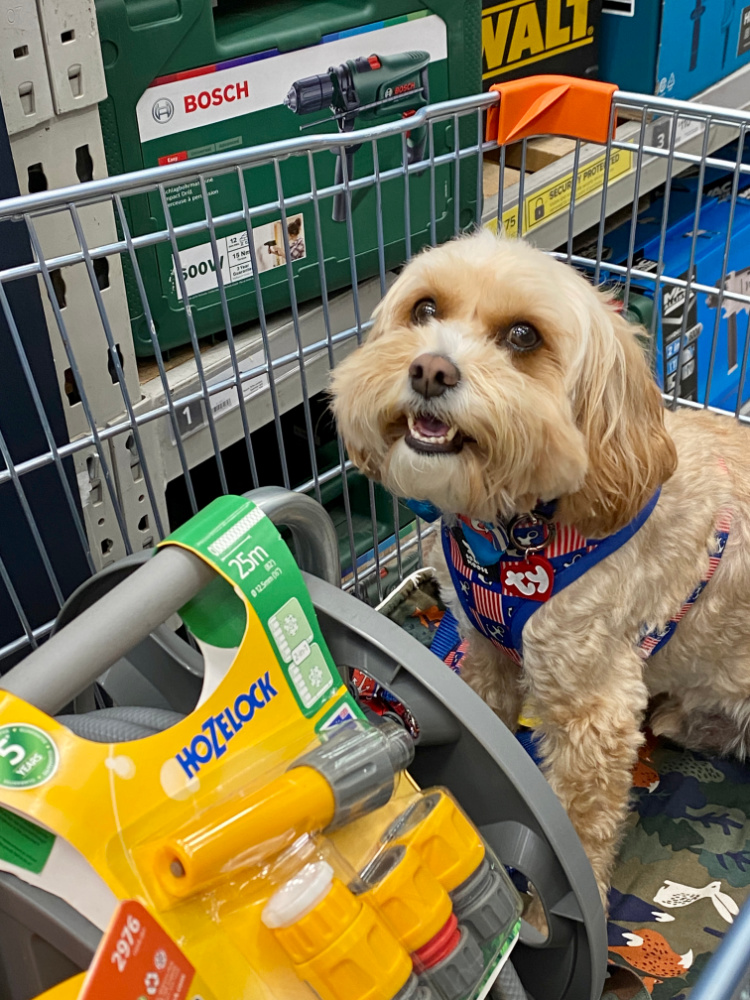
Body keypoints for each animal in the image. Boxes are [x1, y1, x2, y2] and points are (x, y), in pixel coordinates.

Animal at [334, 230, 750, 904]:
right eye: (425, 309)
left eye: (524, 336)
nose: (429, 370)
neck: (507, 535)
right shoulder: (481, 650)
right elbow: (486, 725)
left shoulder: (594, 707)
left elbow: (580, 819)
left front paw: (577, 893)